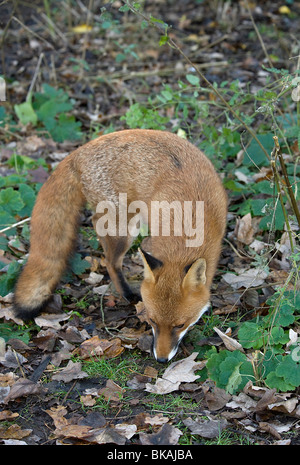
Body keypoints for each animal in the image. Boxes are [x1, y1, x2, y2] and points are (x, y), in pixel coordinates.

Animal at [12, 130, 226, 362]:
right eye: (152, 321)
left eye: (180, 325)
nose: (161, 359)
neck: (188, 229)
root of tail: (80, 151)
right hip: (124, 229)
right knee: (109, 258)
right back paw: (126, 292)